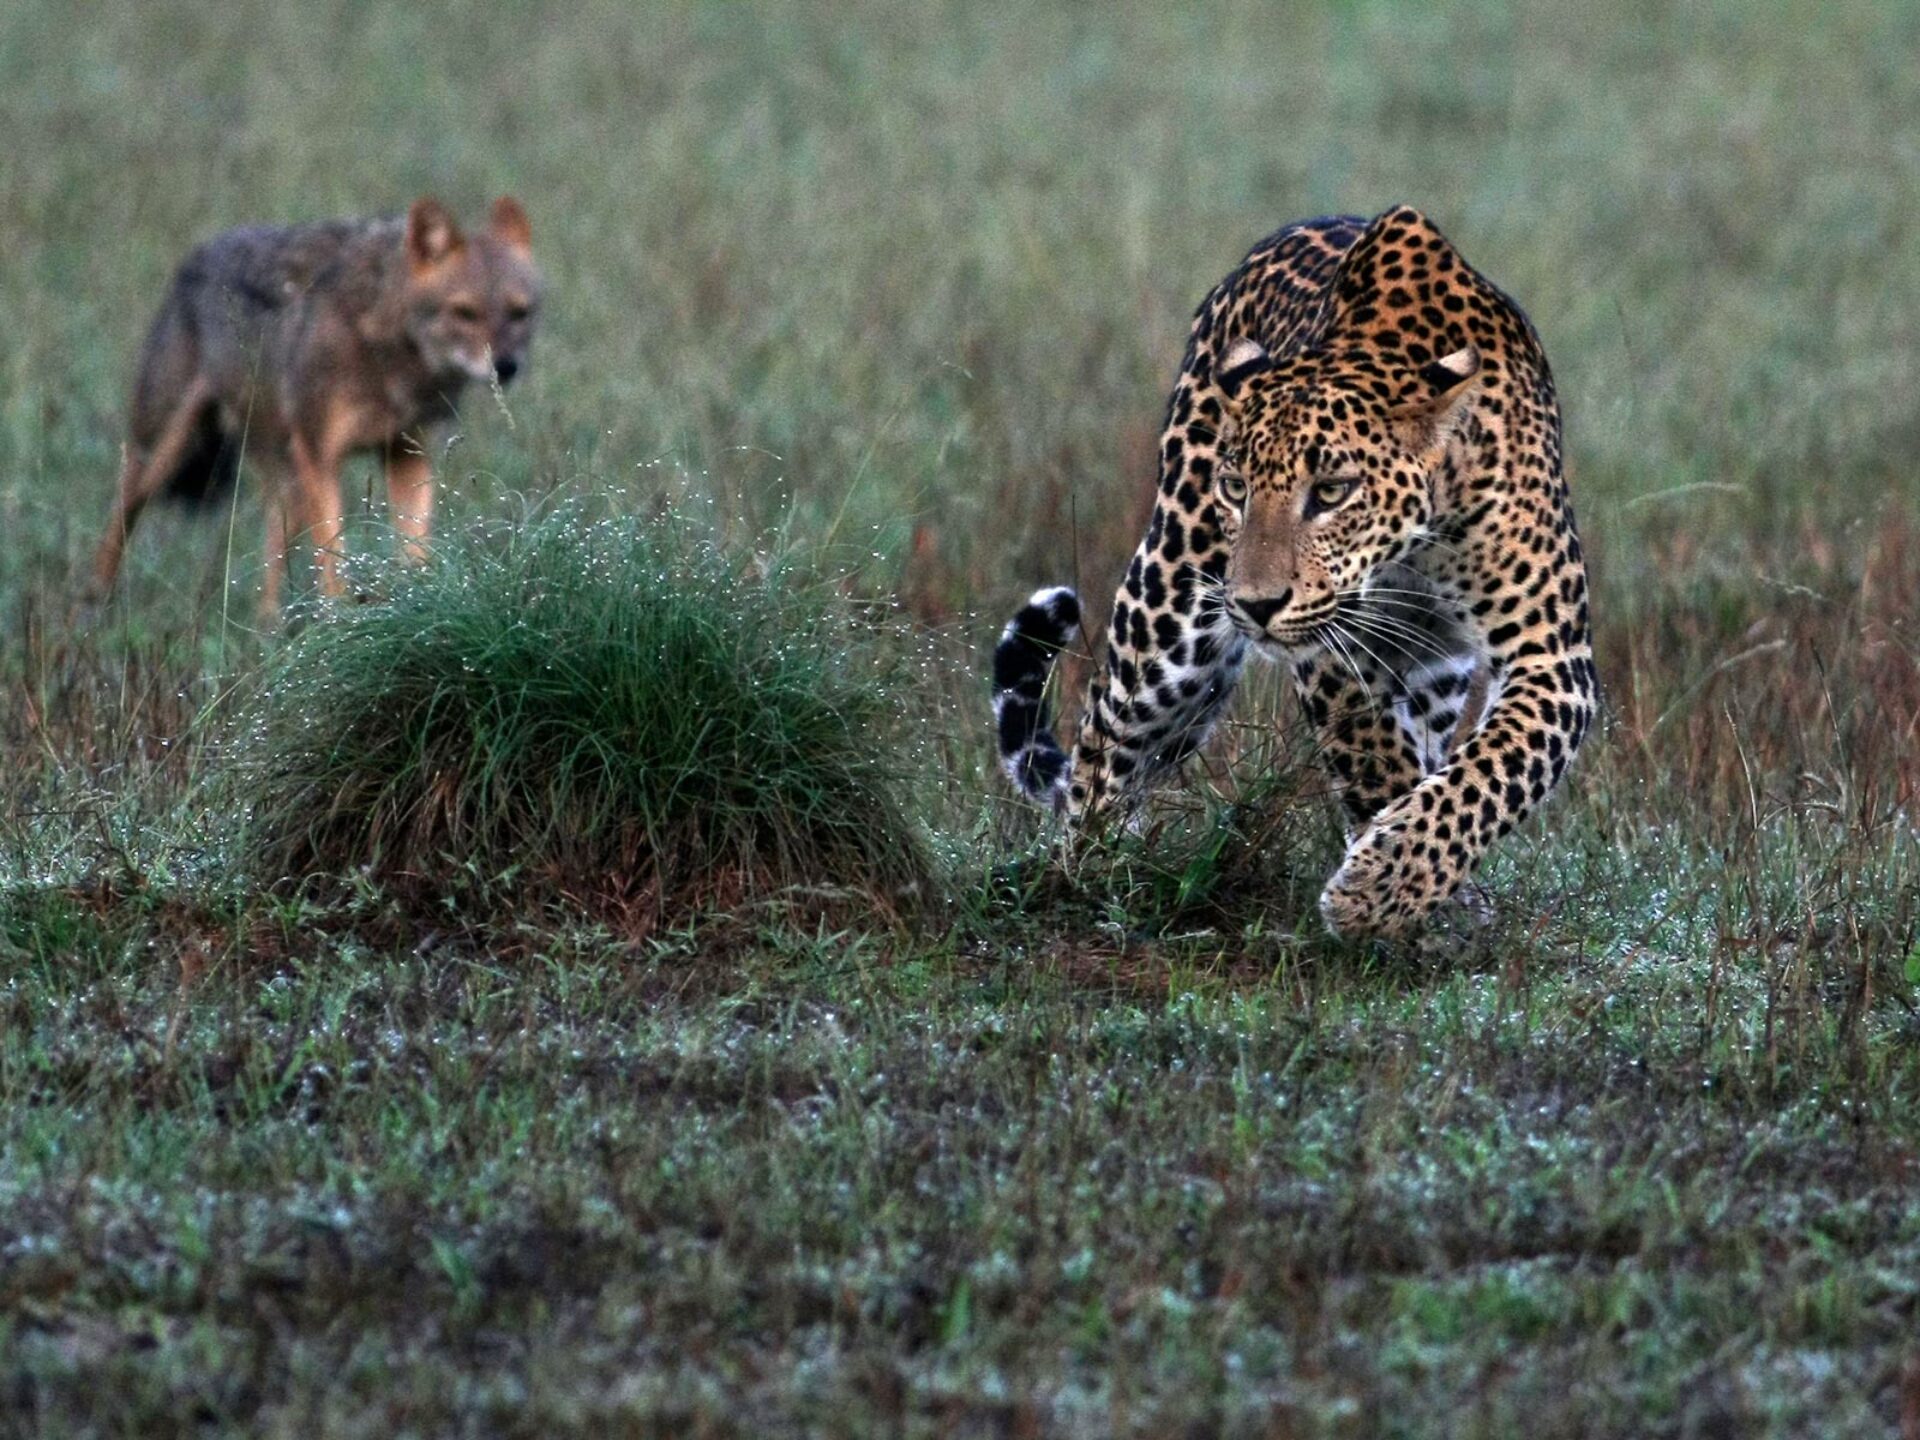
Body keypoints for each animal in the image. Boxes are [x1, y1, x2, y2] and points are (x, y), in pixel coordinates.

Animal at [992, 205, 1596, 940]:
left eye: (1332, 491)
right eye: (1235, 487)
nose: (1255, 604)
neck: (1416, 544)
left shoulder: (1551, 657)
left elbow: (1487, 772)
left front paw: (1390, 884)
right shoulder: (1334, 651)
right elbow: (1375, 757)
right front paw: (1394, 892)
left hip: (1432, 670)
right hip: (1169, 628)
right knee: (1103, 745)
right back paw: (1087, 872)